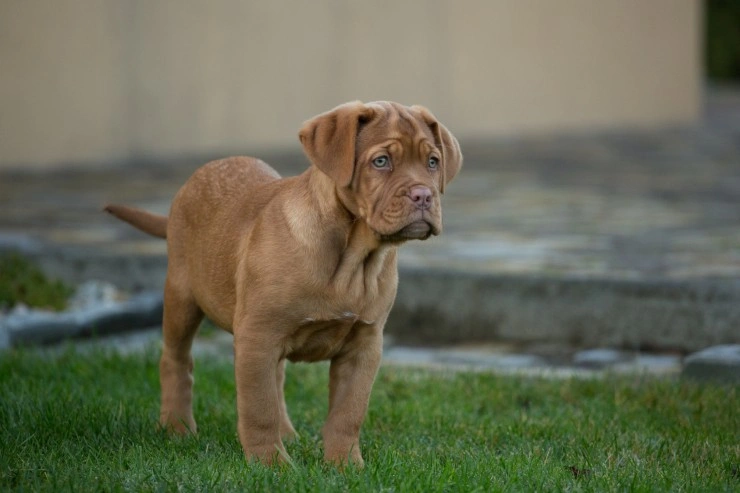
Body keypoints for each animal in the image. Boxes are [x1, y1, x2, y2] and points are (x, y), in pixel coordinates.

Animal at [104, 101, 462, 466]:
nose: (424, 195)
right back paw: (176, 427)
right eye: (381, 161)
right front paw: (270, 465)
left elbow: (348, 413)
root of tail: (206, 170)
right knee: (176, 360)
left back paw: (287, 434)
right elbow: (258, 409)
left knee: (275, 378)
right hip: (182, 297)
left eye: (433, 162)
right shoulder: (257, 335)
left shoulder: (364, 345)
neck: (352, 258)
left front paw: (345, 465)